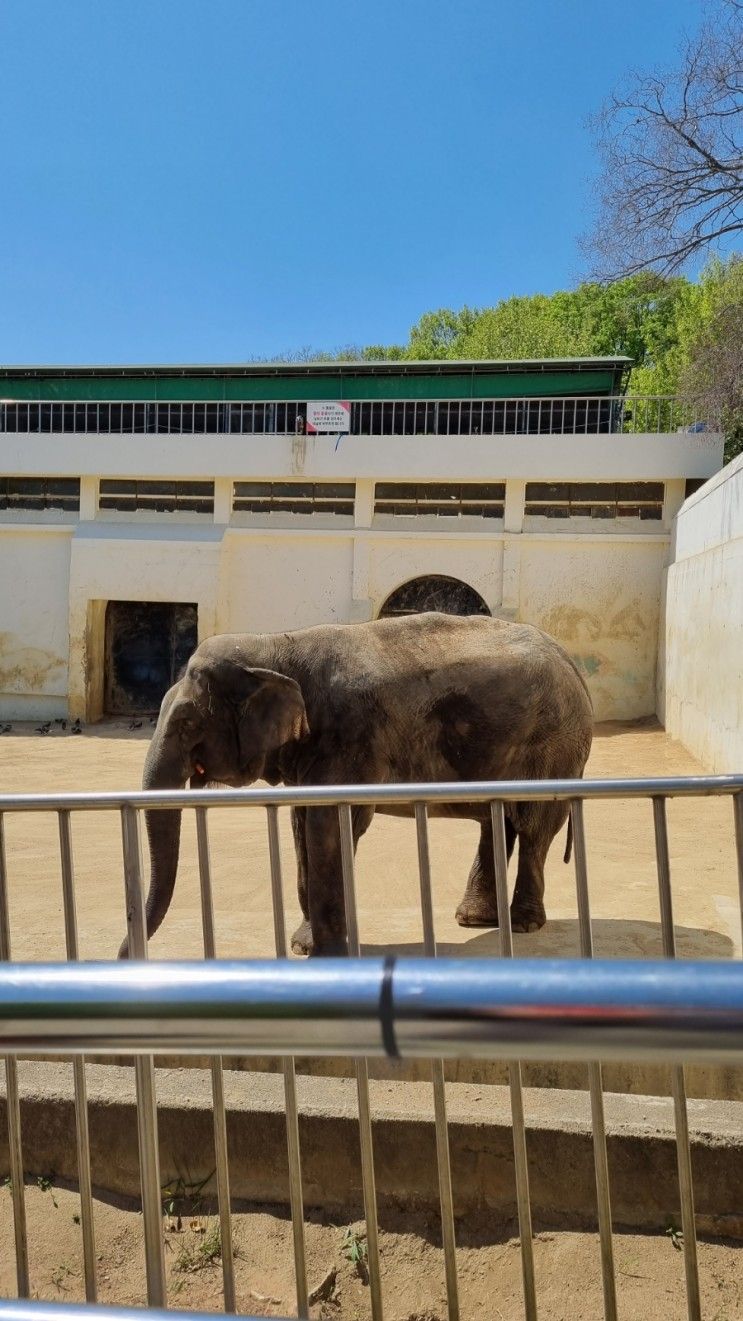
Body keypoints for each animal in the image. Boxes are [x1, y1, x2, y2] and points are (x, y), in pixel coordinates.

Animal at [117, 607, 589, 961]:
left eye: (186, 723)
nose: (122, 954)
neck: (277, 647)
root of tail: (571, 662)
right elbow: (301, 823)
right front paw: (303, 947)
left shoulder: (352, 736)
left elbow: (328, 824)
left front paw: (328, 954)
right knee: (498, 821)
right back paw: (476, 921)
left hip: (554, 746)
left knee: (533, 825)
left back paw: (523, 924)